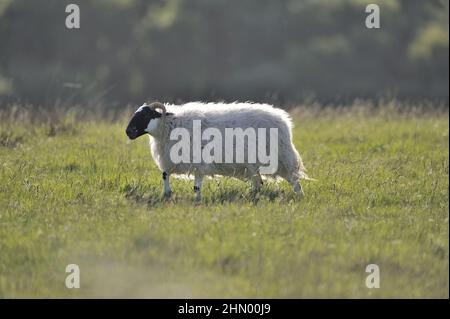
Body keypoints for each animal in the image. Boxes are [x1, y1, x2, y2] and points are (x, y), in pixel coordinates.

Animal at [125, 101, 312, 200]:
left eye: (145, 115)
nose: (128, 132)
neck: (169, 125)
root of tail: (283, 120)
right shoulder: (171, 160)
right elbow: (164, 175)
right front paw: (167, 193)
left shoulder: (198, 163)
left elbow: (196, 187)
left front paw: (197, 200)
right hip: (254, 165)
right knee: (259, 183)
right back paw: (251, 196)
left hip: (281, 159)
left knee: (294, 180)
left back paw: (300, 196)